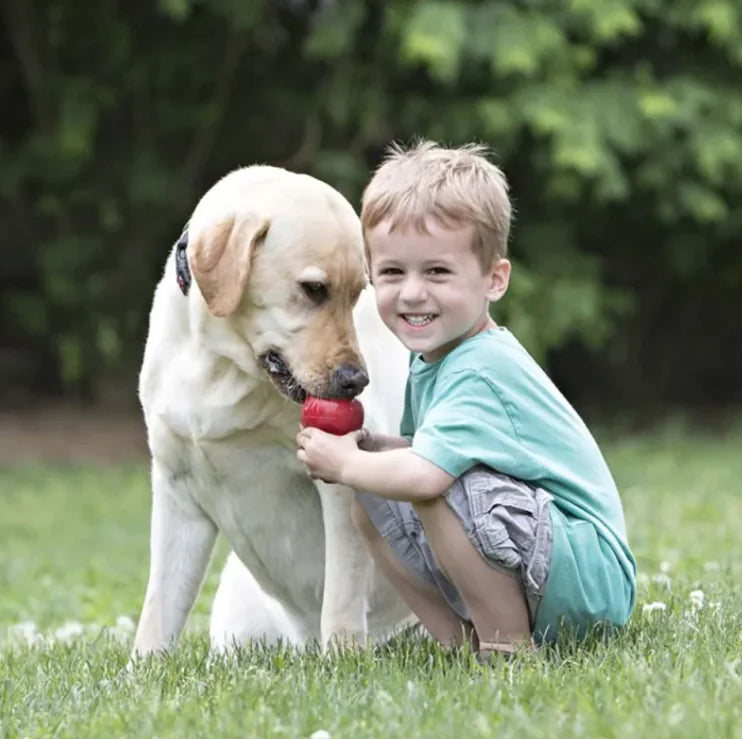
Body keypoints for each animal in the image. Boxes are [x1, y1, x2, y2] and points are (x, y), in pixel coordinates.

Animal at [133, 165, 412, 656]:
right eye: (314, 289)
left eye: (358, 293)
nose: (355, 381)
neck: (219, 364)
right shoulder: (177, 491)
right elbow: (158, 613)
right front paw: (141, 671)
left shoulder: (340, 486)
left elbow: (340, 598)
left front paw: (343, 661)